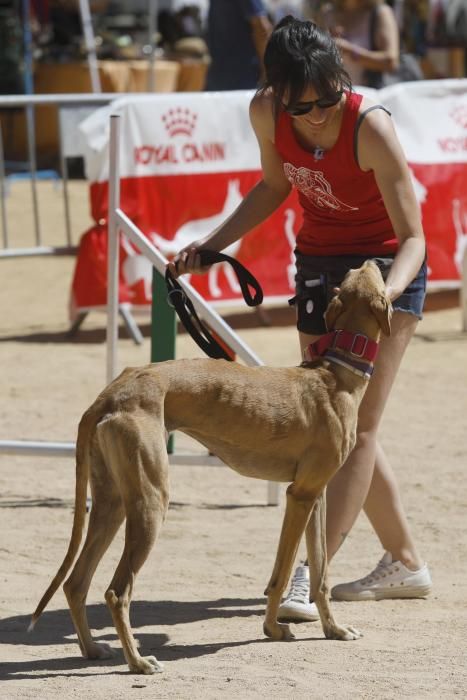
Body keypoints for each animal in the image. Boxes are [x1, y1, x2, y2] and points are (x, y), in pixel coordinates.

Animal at [30, 262, 392, 672]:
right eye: (366, 272)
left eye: (352, 272)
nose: (379, 262)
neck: (335, 375)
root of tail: (109, 395)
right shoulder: (298, 495)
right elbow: (281, 572)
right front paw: (273, 629)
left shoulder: (315, 495)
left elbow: (321, 572)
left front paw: (333, 629)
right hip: (151, 502)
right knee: (116, 591)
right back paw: (138, 662)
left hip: (112, 502)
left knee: (76, 582)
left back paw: (93, 649)